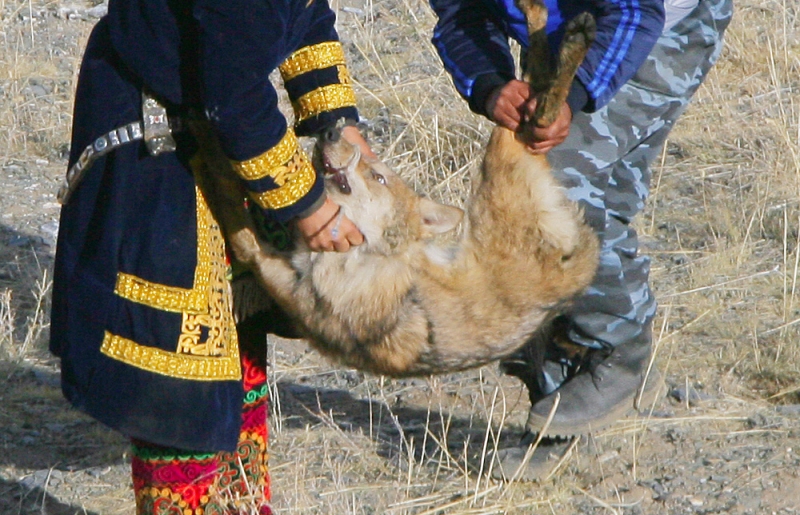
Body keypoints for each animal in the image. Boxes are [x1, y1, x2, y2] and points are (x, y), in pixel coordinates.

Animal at [192, 1, 592, 378]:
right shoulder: (282, 268)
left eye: (378, 176)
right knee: (535, 84)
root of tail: (583, 259)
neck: (356, 250)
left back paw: (574, 35)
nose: (331, 131)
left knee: (542, 105)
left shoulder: (274, 269)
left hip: (496, 169)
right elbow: (240, 217)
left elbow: (235, 217)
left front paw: (203, 138)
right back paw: (553, 22)